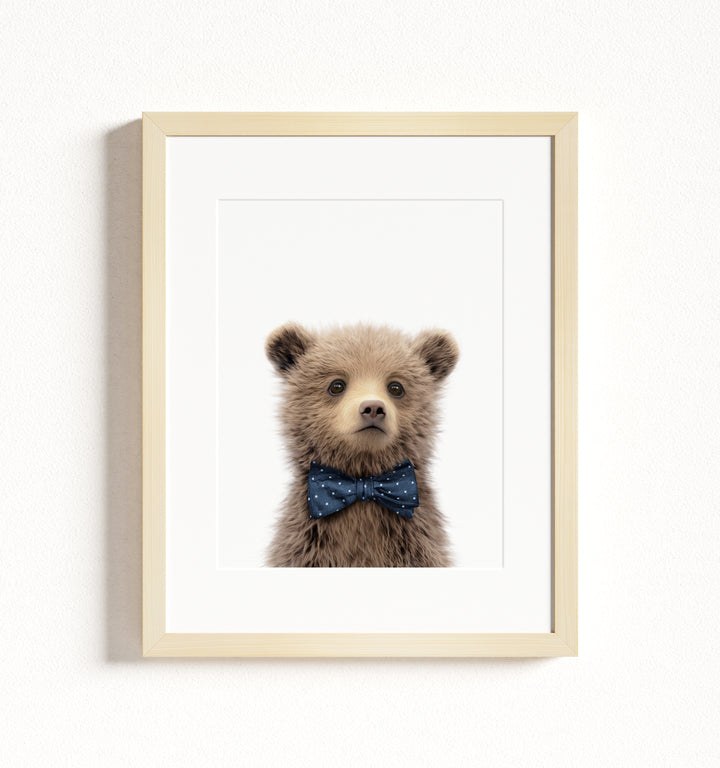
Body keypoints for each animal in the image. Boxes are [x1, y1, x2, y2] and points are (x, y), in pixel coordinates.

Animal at [264, 322, 459, 567]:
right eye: (336, 385)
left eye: (396, 387)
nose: (373, 408)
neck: (362, 477)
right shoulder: (307, 542)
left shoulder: (415, 544)